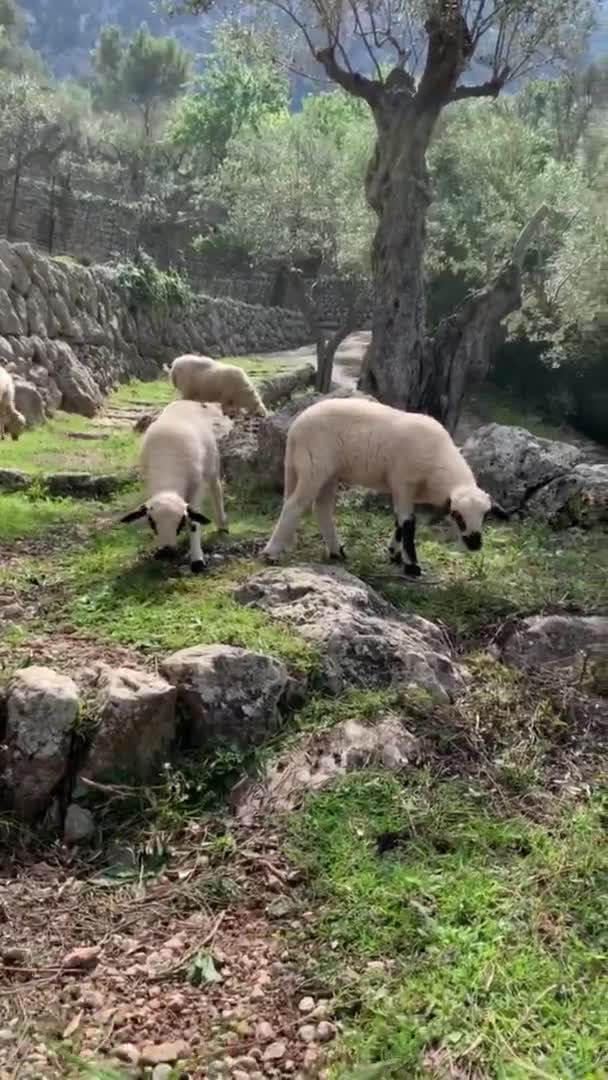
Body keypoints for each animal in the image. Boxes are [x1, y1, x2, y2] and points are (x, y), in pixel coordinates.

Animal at [119, 401, 228, 574]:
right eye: (151, 522)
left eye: (180, 521)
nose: (167, 552)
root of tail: (188, 402)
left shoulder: (197, 487)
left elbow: (194, 523)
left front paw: (197, 560)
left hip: (211, 464)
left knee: (216, 488)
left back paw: (222, 524)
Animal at [264, 397, 507, 578]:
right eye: (457, 516)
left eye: (485, 515)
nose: (475, 544)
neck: (438, 462)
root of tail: (296, 427)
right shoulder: (403, 482)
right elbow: (408, 524)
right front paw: (412, 566)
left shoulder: (404, 490)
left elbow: (399, 522)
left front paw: (395, 554)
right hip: (314, 467)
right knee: (294, 506)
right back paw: (271, 553)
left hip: (329, 473)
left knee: (321, 508)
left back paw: (336, 552)